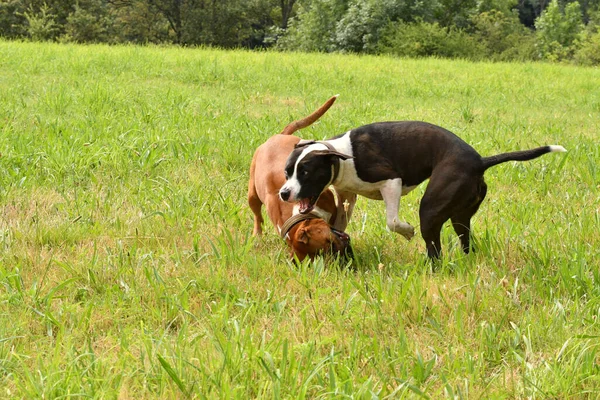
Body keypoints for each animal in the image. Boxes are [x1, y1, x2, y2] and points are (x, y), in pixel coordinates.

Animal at [247, 95, 352, 260]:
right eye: (322, 255)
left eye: (330, 243)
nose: (343, 252)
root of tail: (279, 135)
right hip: (253, 195)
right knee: (258, 217)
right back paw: (257, 235)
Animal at [278, 121, 564, 260]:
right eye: (287, 171)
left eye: (305, 172)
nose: (284, 193)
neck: (341, 155)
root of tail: (480, 161)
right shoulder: (348, 196)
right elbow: (339, 223)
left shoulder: (390, 181)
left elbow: (392, 221)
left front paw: (406, 231)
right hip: (461, 217)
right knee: (465, 242)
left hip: (431, 209)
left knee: (434, 249)